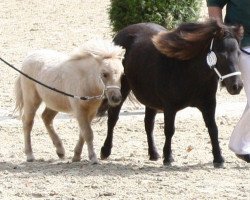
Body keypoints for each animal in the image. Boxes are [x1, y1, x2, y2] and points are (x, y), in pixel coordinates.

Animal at [98, 20, 243, 167]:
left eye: (238, 53)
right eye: (221, 55)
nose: (237, 86)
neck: (188, 70)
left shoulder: (208, 104)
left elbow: (213, 129)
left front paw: (218, 158)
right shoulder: (170, 107)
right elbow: (169, 130)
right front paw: (168, 157)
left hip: (150, 100)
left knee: (148, 124)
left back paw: (153, 153)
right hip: (121, 91)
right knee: (112, 119)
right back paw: (105, 151)